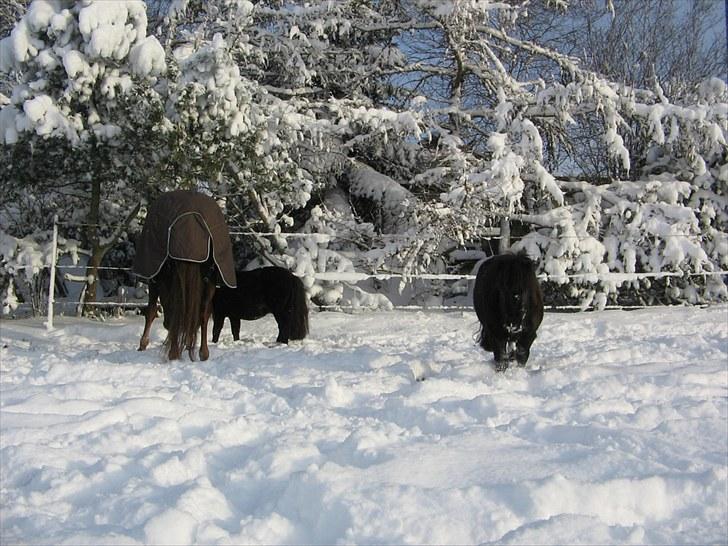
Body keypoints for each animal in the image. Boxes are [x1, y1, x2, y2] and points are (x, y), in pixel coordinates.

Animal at [129, 189, 235, 360]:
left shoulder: (154, 281)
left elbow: (151, 311)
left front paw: (143, 344)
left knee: (175, 312)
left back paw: (174, 352)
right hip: (210, 280)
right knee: (203, 313)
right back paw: (202, 352)